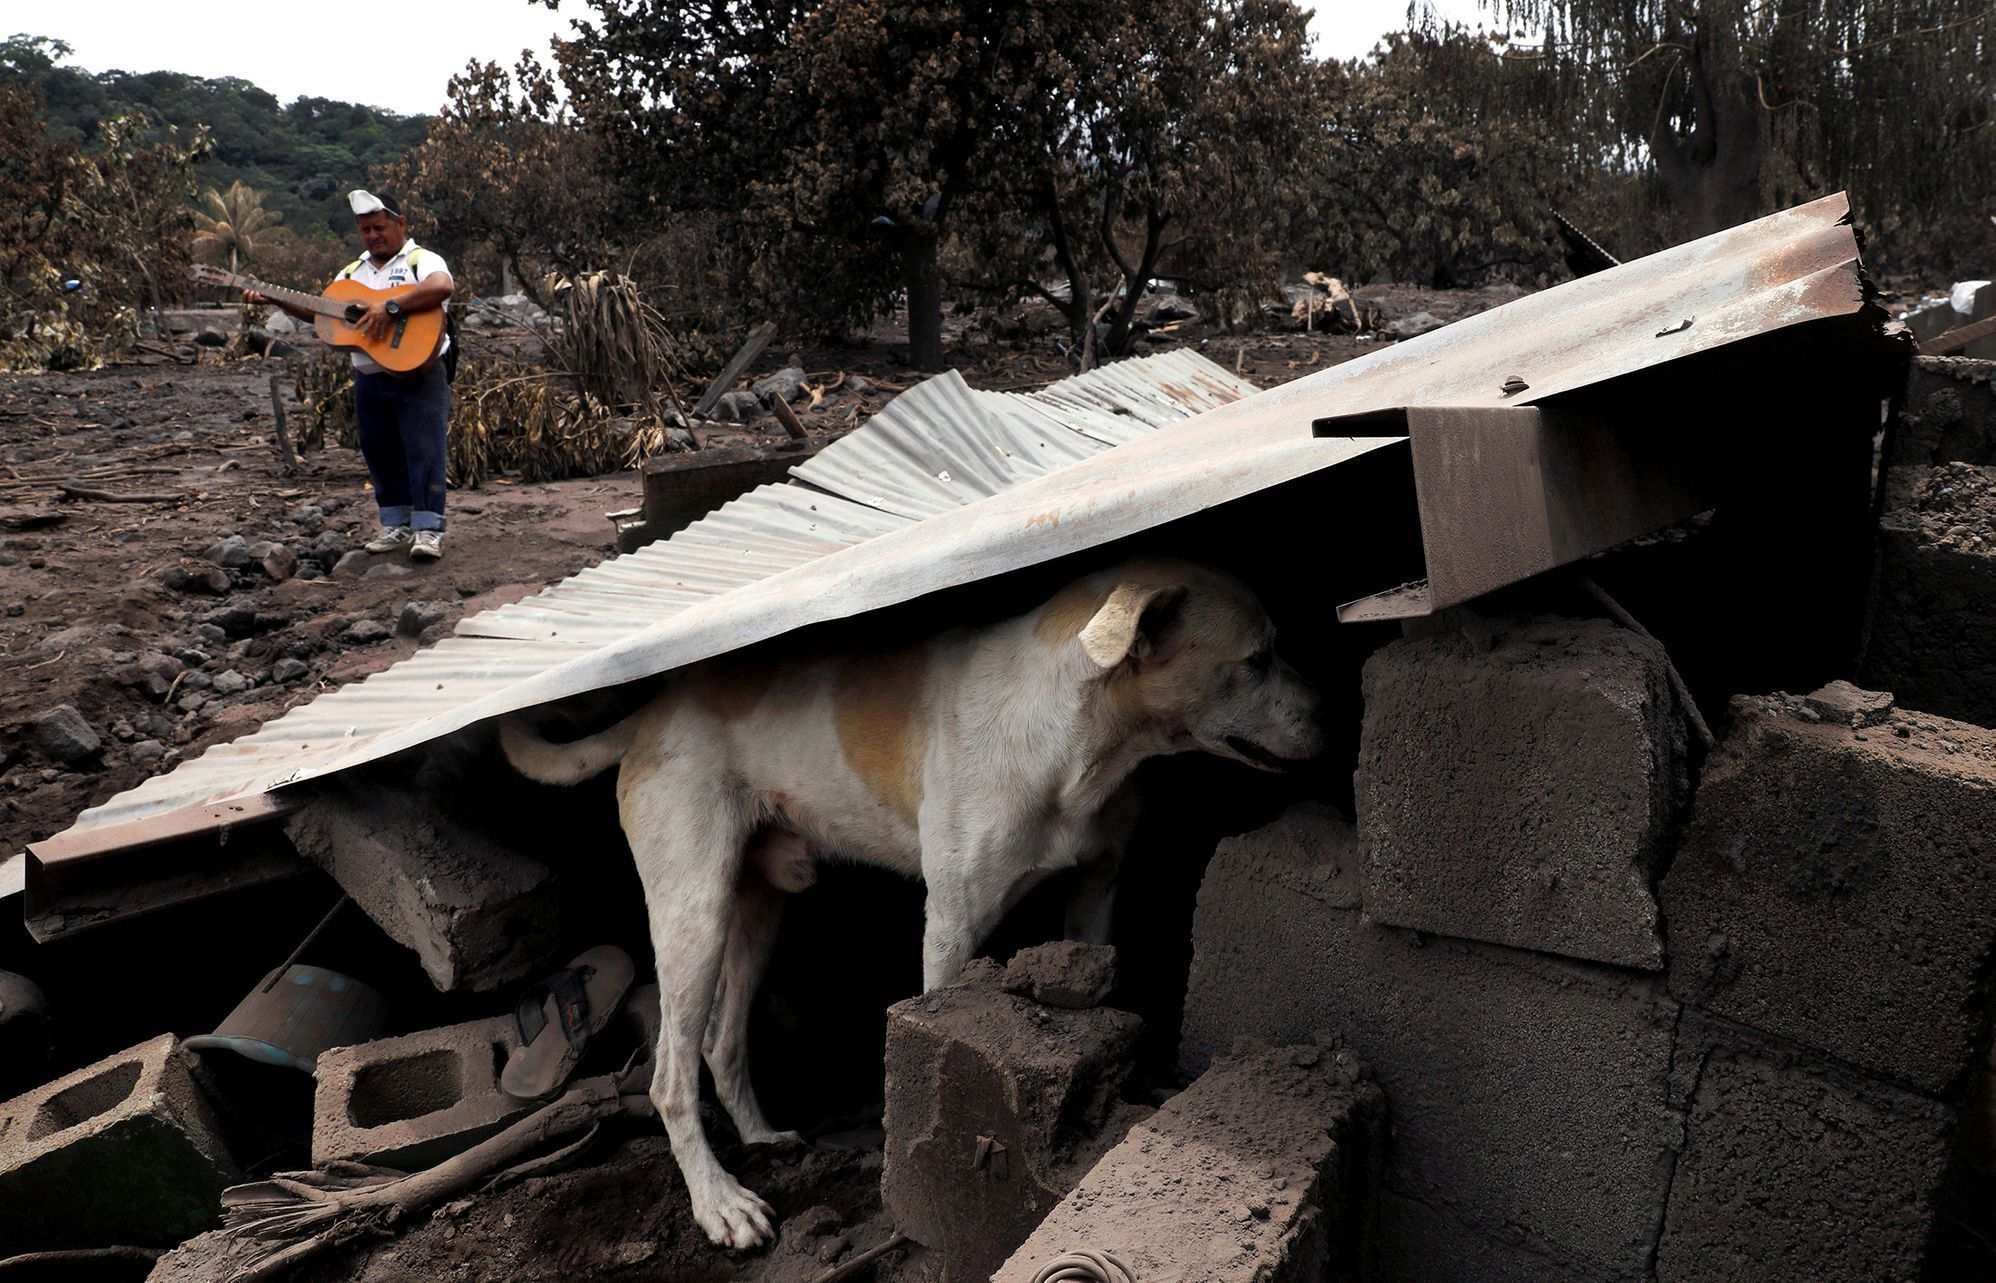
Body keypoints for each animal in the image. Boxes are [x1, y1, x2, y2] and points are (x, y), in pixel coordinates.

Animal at [502, 558, 1325, 1253]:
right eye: (1257, 658)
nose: (1329, 714)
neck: (1071, 739)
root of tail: (653, 711)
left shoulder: (1096, 892)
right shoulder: (953, 928)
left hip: (759, 911)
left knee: (721, 1041)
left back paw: (764, 1140)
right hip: (693, 911)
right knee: (671, 1077)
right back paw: (720, 1203)